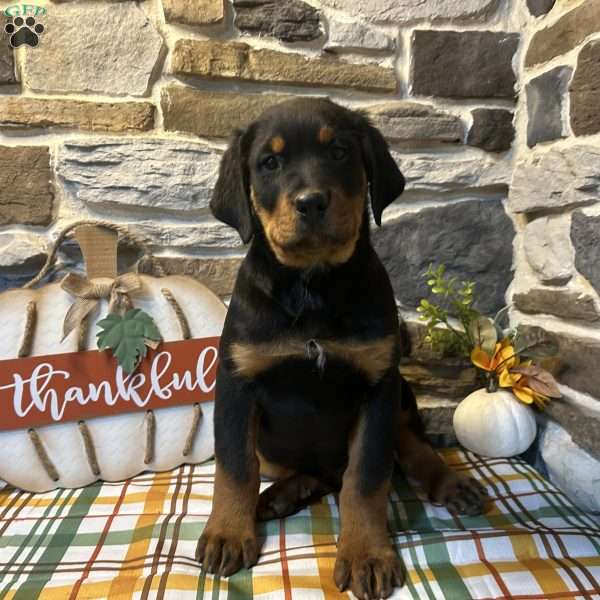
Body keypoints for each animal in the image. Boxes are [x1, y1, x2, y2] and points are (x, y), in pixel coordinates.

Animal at [198, 98, 488, 600]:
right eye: (269, 163)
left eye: (338, 152)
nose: (311, 201)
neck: (312, 285)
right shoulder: (238, 383)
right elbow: (235, 466)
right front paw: (228, 534)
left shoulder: (376, 388)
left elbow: (366, 478)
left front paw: (367, 555)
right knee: (312, 471)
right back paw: (281, 495)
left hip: (402, 392)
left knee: (407, 448)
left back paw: (451, 483)